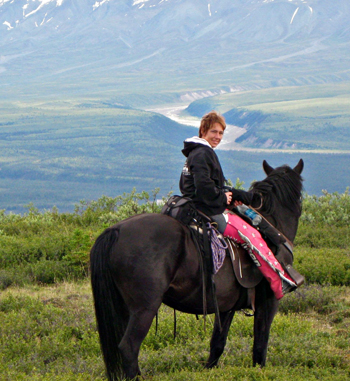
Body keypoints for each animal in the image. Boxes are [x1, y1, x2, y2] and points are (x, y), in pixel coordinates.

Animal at [89, 159, 304, 378]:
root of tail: (115, 230)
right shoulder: (268, 302)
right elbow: (260, 345)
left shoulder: (226, 305)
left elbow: (217, 343)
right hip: (145, 308)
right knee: (129, 346)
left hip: (123, 307)